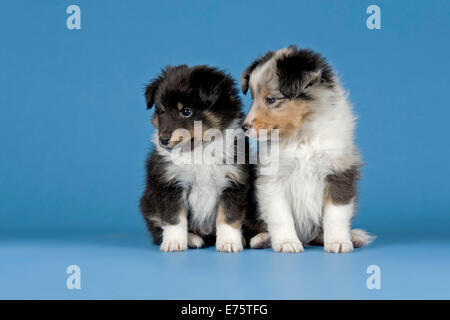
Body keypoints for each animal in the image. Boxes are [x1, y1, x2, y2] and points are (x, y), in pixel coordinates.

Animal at [241, 46, 374, 254]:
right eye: (253, 98)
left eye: (270, 99)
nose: (244, 127)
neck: (301, 135)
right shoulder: (272, 179)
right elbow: (280, 215)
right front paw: (287, 242)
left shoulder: (339, 173)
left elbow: (336, 214)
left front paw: (338, 241)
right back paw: (262, 239)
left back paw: (354, 237)